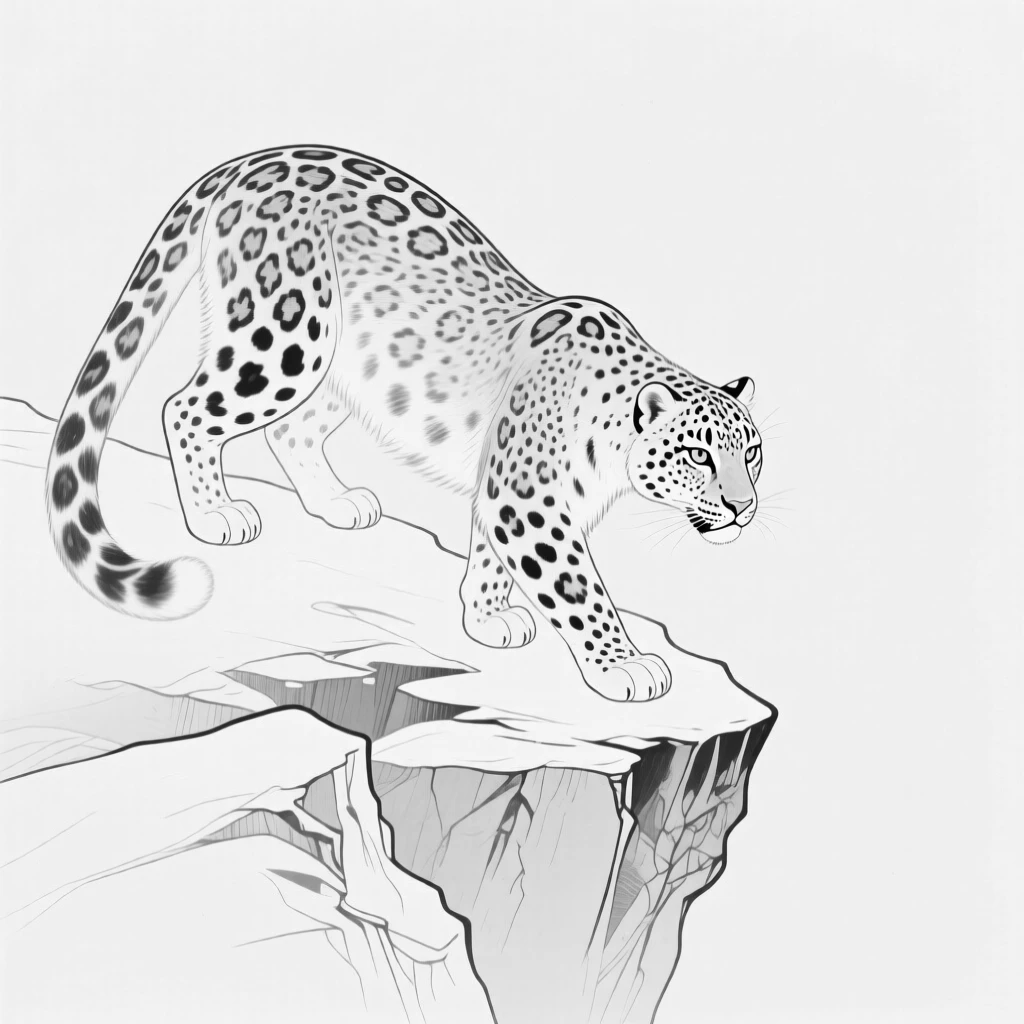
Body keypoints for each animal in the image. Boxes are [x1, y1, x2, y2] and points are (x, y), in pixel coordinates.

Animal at [45, 145, 763, 702]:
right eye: (698, 454)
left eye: (752, 451)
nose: (743, 508)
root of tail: (249, 160)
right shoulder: (529, 499)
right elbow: (576, 587)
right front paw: (626, 667)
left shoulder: (506, 490)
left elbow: (489, 552)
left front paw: (488, 617)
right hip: (284, 335)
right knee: (187, 407)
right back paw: (217, 514)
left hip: (345, 361)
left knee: (290, 429)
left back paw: (339, 502)